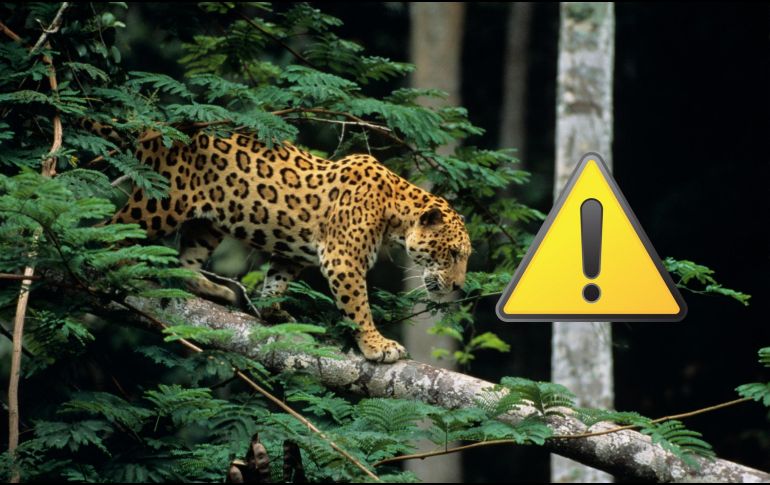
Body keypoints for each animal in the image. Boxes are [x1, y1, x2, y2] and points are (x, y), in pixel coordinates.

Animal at [99, 123, 472, 363]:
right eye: (453, 254)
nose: (458, 287)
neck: (394, 210)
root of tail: (153, 130)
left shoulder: (294, 256)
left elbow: (277, 279)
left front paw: (271, 310)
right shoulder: (343, 260)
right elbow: (359, 308)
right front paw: (376, 345)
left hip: (207, 225)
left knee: (185, 261)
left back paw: (215, 290)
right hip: (160, 203)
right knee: (111, 227)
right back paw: (112, 262)